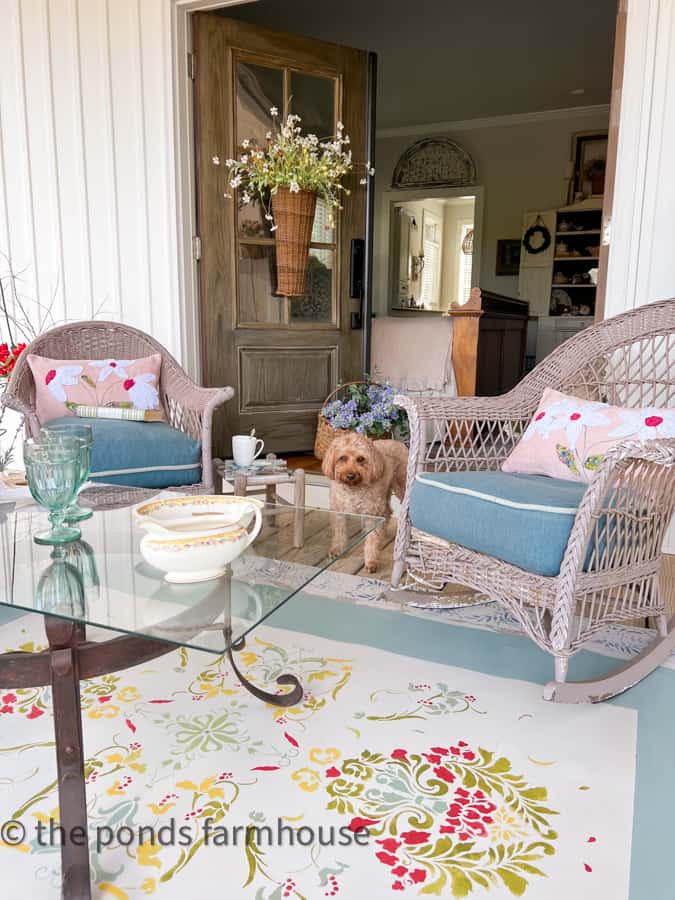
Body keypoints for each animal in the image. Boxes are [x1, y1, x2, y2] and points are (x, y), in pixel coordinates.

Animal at [324, 432, 412, 572]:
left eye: (361, 459)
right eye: (342, 458)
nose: (350, 475)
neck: (353, 489)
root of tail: (397, 442)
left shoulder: (372, 516)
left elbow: (371, 540)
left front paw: (371, 561)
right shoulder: (339, 513)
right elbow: (339, 534)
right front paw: (337, 550)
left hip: (401, 487)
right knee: (387, 512)